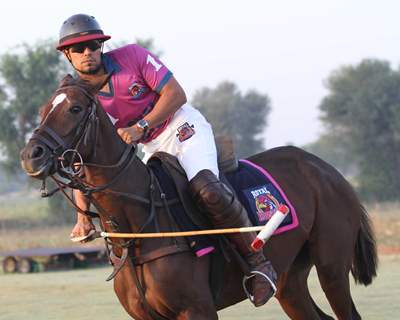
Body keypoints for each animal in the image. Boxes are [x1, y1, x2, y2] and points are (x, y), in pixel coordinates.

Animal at [20, 75, 376, 320]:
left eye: (75, 108)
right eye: (43, 109)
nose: (31, 155)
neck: (140, 228)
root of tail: (328, 169)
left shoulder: (197, 309)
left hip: (331, 264)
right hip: (291, 280)